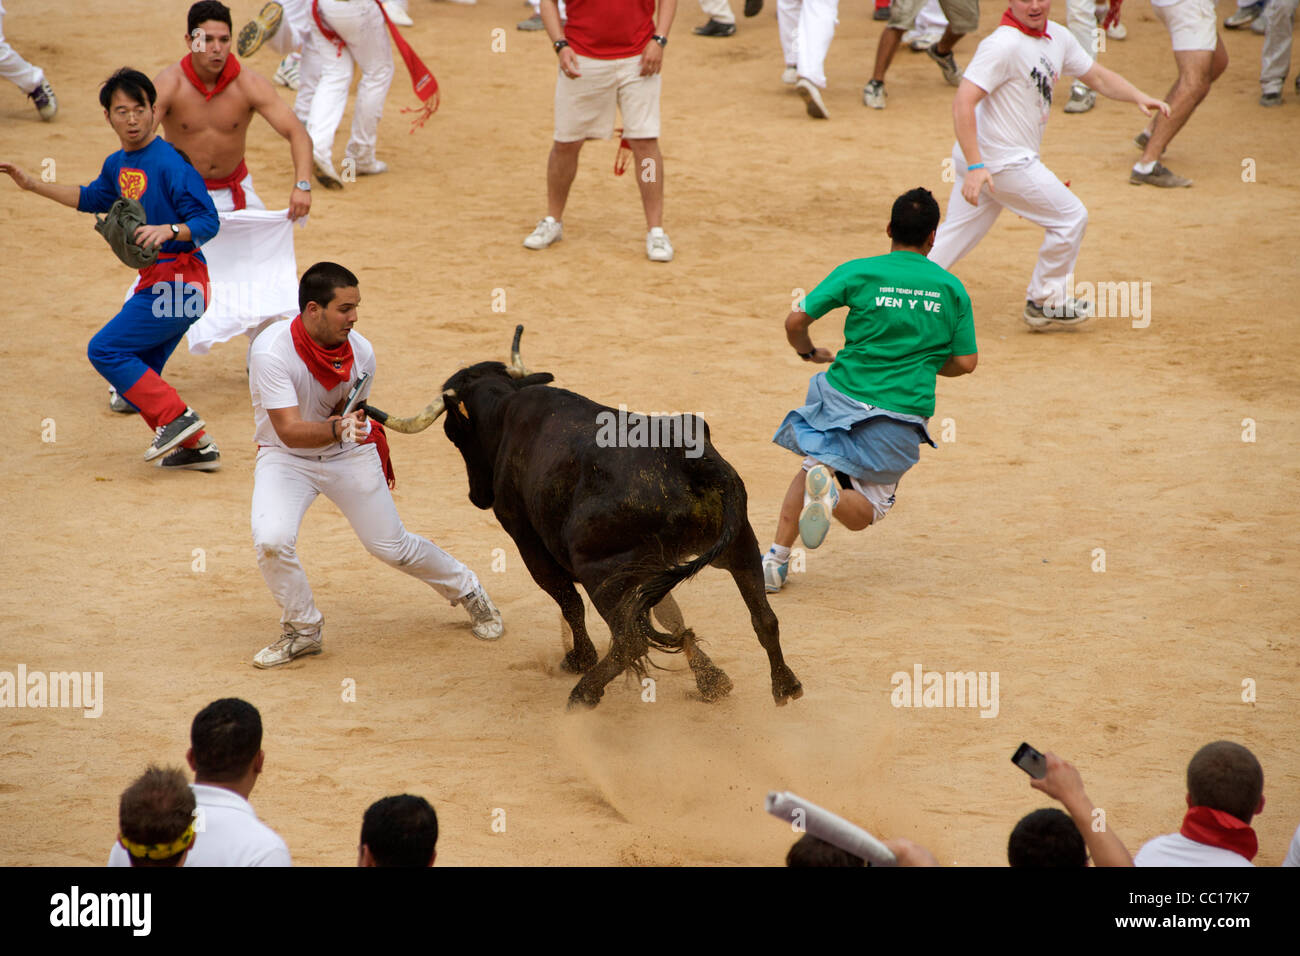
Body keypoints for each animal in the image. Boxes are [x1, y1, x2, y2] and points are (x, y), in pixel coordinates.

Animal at [366, 329, 800, 712]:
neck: (507, 409)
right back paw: (784, 686)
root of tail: (686, 459)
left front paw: (580, 658)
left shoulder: (529, 542)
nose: (478, 497)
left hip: (600, 570)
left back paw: (585, 693)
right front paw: (712, 680)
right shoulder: (651, 569)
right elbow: (669, 613)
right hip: (739, 544)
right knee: (764, 618)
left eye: (452, 433)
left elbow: (567, 600)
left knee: (629, 641)